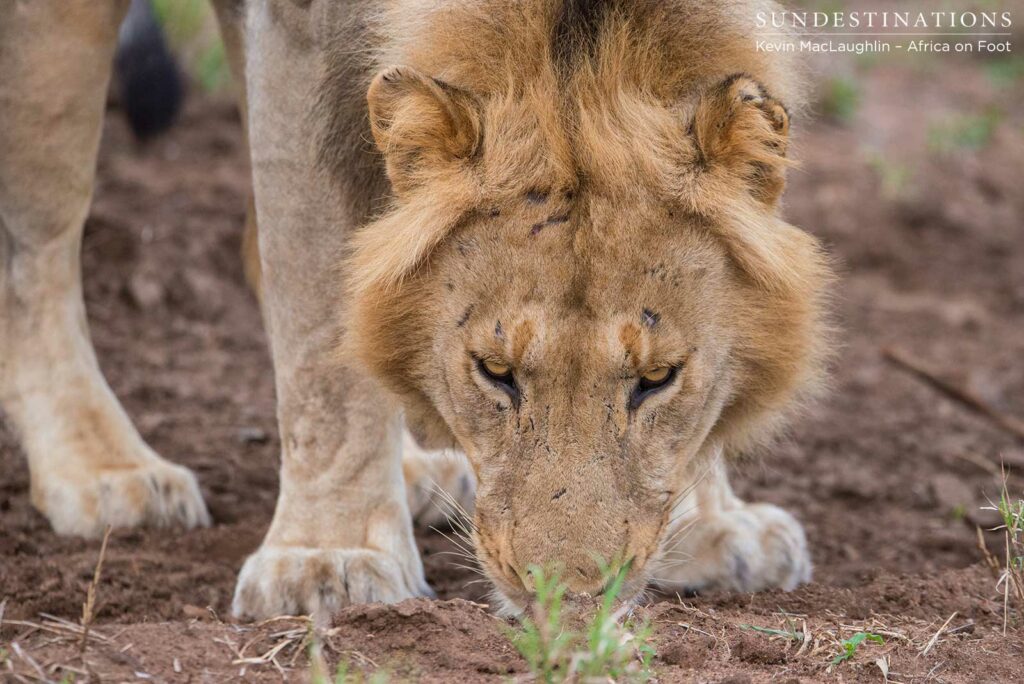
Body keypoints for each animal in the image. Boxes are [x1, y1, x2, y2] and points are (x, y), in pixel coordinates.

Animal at [0, 0, 829, 621]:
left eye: (657, 380)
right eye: (494, 372)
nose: (568, 599)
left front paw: (713, 525)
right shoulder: (302, 27)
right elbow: (321, 327)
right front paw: (326, 560)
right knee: (36, 244)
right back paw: (107, 470)